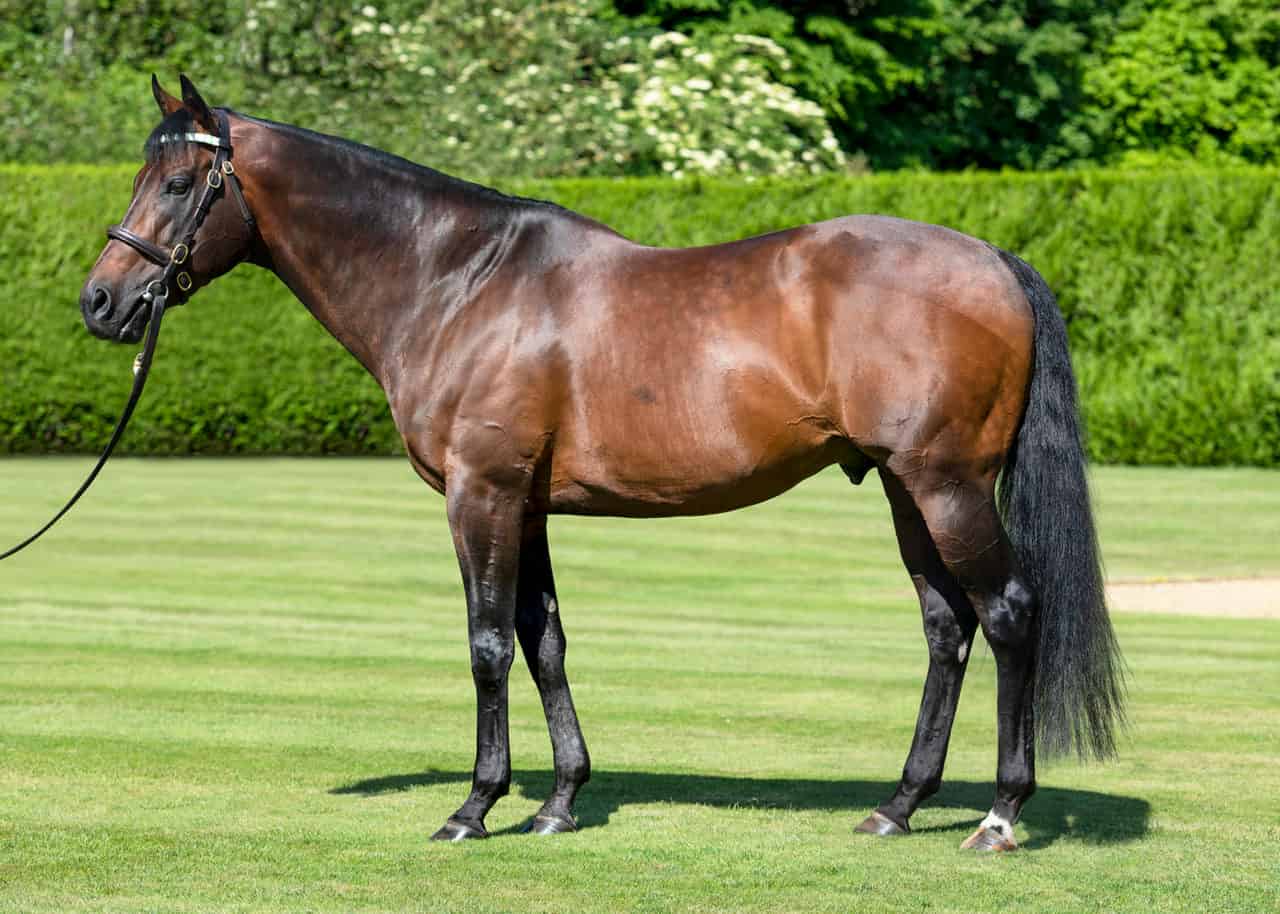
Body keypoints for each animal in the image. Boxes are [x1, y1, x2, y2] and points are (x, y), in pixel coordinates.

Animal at [79, 75, 1125, 851]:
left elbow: (489, 645)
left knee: (1008, 614)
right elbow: (544, 642)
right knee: (948, 628)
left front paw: (474, 807)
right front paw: (557, 803)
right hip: (908, 491)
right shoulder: (528, 503)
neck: (458, 279)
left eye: (178, 185)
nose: (101, 302)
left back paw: (999, 815)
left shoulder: (481, 495)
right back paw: (898, 806)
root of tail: (992, 259)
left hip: (949, 487)